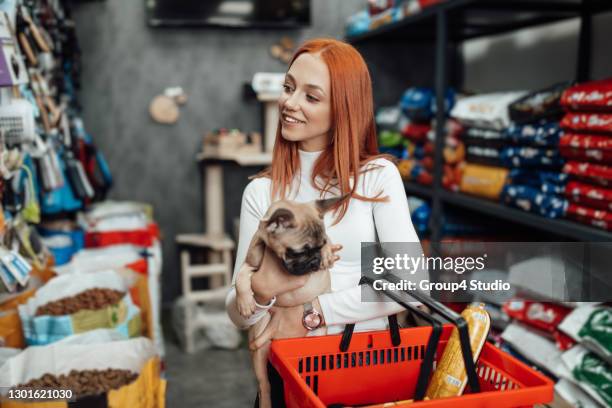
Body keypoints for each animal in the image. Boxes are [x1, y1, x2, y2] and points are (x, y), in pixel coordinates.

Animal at [234, 196, 342, 406]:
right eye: (297, 252)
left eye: (320, 245)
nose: (315, 261)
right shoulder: (251, 263)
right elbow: (240, 278)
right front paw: (245, 303)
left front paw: (327, 253)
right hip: (261, 345)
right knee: (264, 385)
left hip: (315, 337)